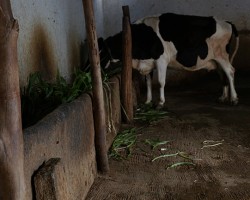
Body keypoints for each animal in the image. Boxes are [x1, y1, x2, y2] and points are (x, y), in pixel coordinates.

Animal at [98, 12, 239, 108]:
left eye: (100, 52)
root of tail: (227, 22)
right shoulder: (148, 63)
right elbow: (148, 83)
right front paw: (148, 101)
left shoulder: (161, 60)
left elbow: (161, 82)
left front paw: (160, 103)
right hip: (215, 60)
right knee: (223, 75)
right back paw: (222, 97)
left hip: (222, 56)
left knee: (230, 72)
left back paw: (234, 99)